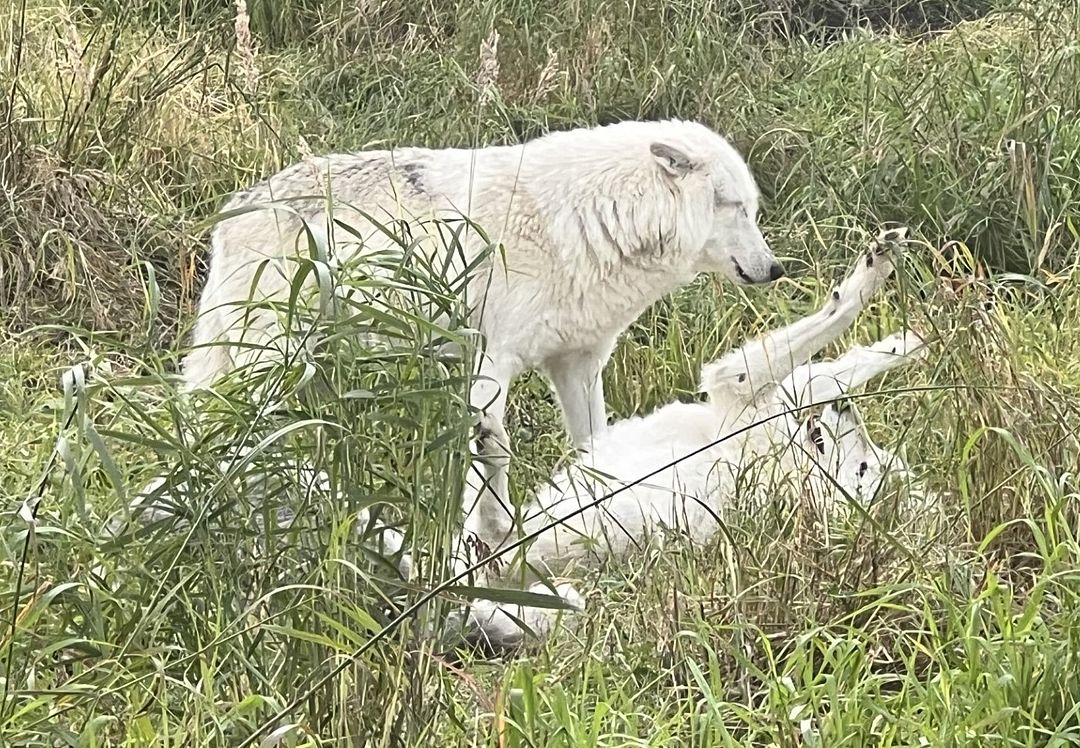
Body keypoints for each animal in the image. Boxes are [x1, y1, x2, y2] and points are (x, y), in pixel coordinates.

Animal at [416, 224, 933, 651]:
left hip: (546, 539)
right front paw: (905, 328)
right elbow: (833, 365)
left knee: (493, 531)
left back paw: (486, 441)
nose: (847, 413)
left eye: (865, 470)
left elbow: (823, 332)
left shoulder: (736, 384)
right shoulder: (768, 394)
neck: (796, 467)